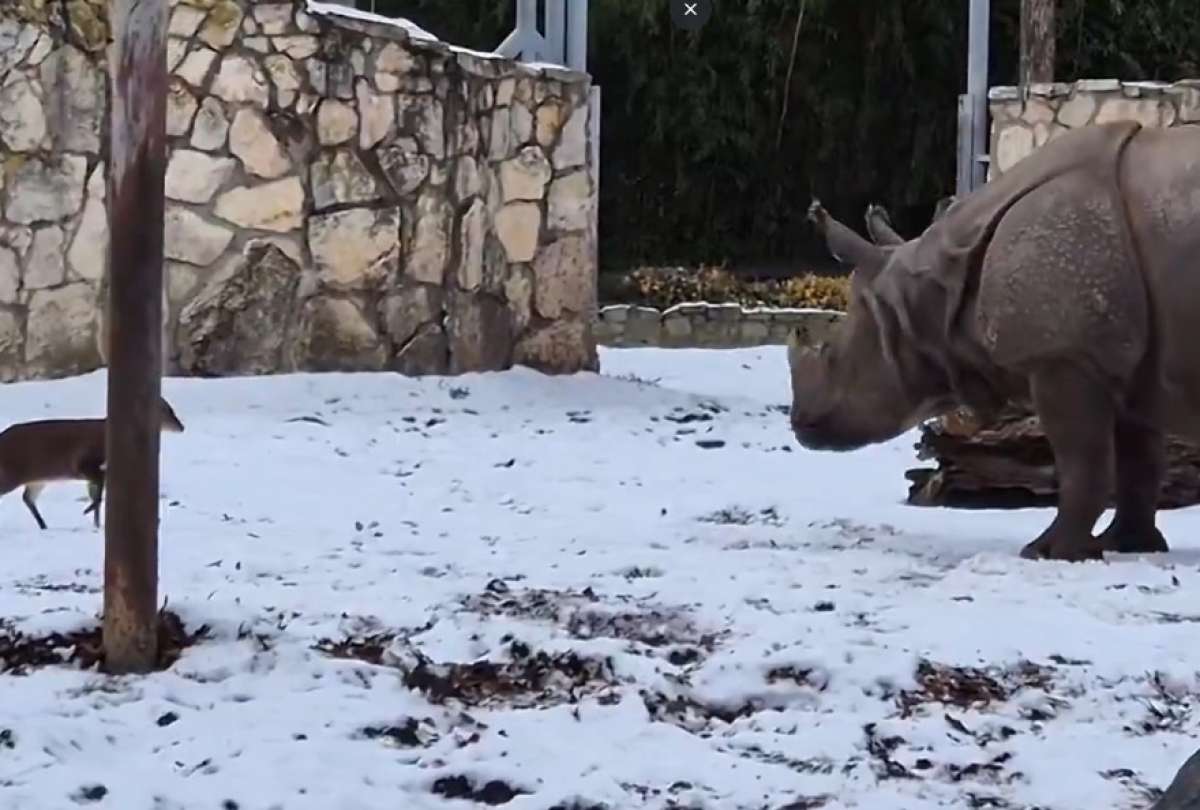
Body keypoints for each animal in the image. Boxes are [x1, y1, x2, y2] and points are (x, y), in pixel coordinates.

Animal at [0, 397, 185, 530]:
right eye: (168, 411)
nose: (181, 427)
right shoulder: (84, 463)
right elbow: (98, 495)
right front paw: (88, 512)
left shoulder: (97, 471)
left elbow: (97, 495)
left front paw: (96, 524)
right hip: (12, 473)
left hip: (38, 478)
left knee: (27, 498)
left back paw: (44, 525)